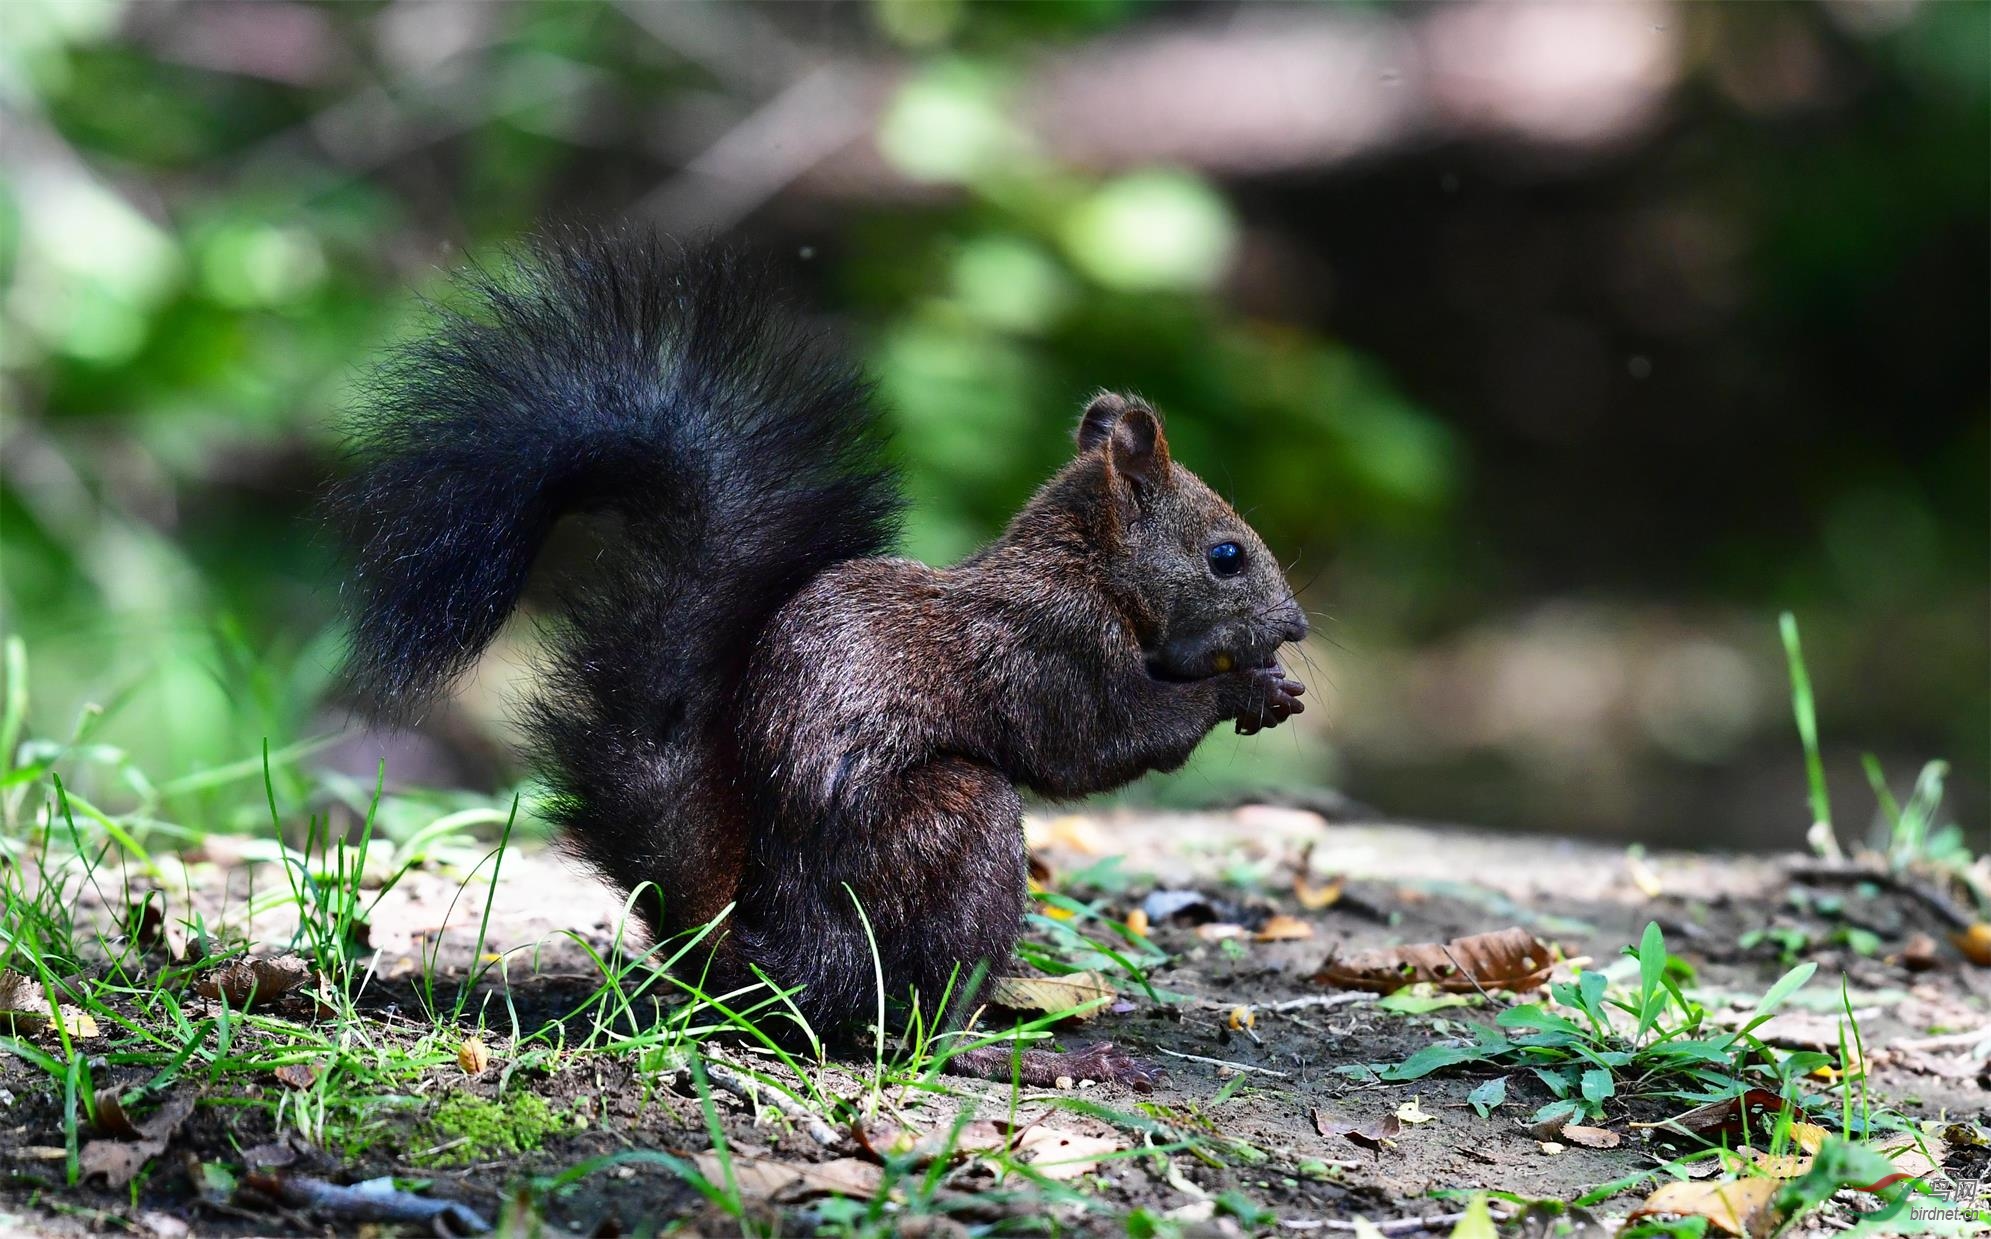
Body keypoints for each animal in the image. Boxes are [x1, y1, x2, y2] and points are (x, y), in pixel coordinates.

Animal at [334, 233, 1314, 1083]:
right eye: (1226, 555)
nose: (1297, 625)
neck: (1085, 570)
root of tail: (784, 963)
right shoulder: (1049, 648)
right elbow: (1098, 743)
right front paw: (1245, 689)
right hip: (953, 832)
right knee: (920, 1029)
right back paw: (1022, 1051)